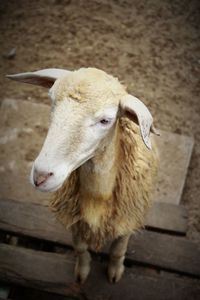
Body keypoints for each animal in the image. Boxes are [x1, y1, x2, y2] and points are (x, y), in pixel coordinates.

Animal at [6, 67, 159, 284]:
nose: (41, 176)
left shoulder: (128, 219)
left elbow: (118, 250)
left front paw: (114, 273)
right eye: (51, 101)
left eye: (105, 120)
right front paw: (82, 274)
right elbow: (80, 249)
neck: (97, 197)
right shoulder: (75, 220)